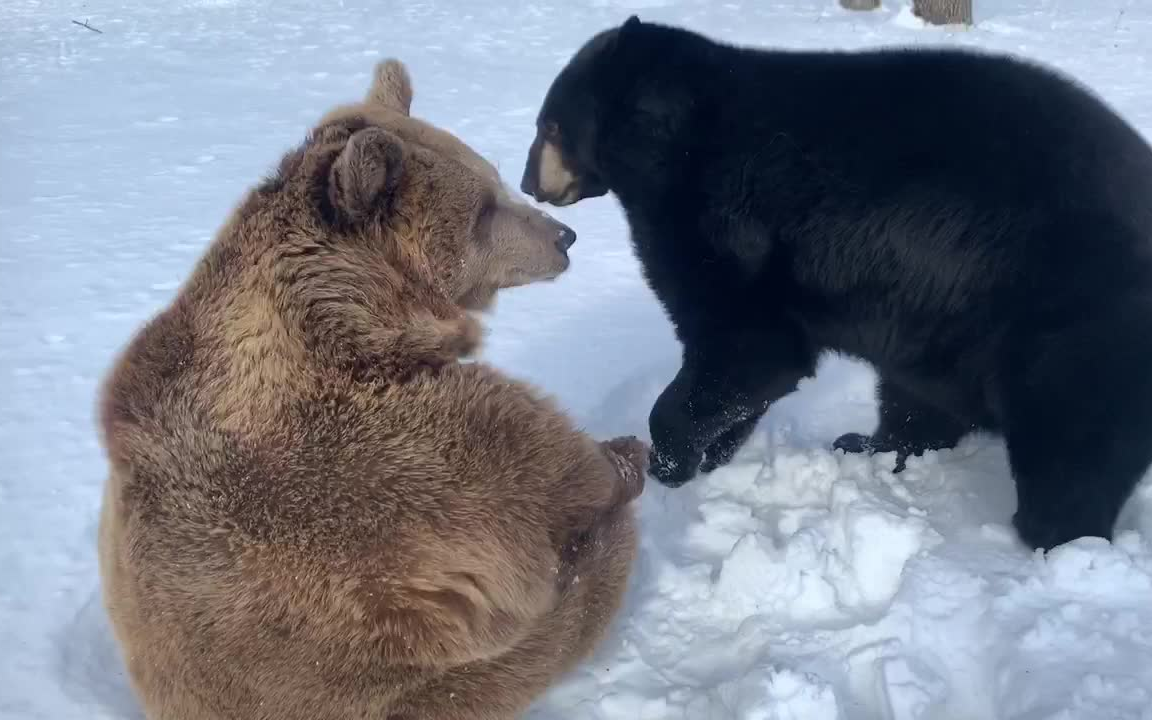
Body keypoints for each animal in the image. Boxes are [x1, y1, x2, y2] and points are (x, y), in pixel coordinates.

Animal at [96, 57, 649, 718]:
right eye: (483, 209)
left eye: (492, 177)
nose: (564, 236)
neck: (354, 315)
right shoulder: (388, 458)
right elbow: (545, 473)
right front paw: (620, 460)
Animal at [518, 14, 1152, 548]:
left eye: (549, 123)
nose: (527, 182)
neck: (672, 141)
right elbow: (752, 366)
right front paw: (715, 451)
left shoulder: (720, 218)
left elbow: (747, 345)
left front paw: (669, 458)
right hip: (946, 326)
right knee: (916, 398)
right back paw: (869, 446)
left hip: (1067, 315)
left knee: (1072, 439)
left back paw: (1055, 535)